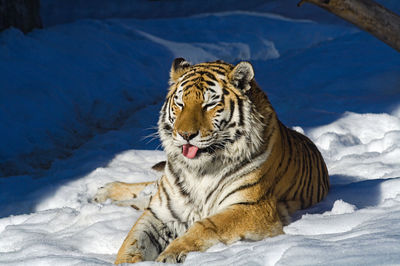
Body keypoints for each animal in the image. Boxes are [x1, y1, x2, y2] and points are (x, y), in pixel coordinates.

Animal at [94, 58, 328, 264]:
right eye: (180, 104)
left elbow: (206, 226)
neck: (199, 170)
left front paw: (170, 254)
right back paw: (103, 193)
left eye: (209, 105)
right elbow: (133, 241)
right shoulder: (159, 212)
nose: (185, 134)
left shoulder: (251, 207)